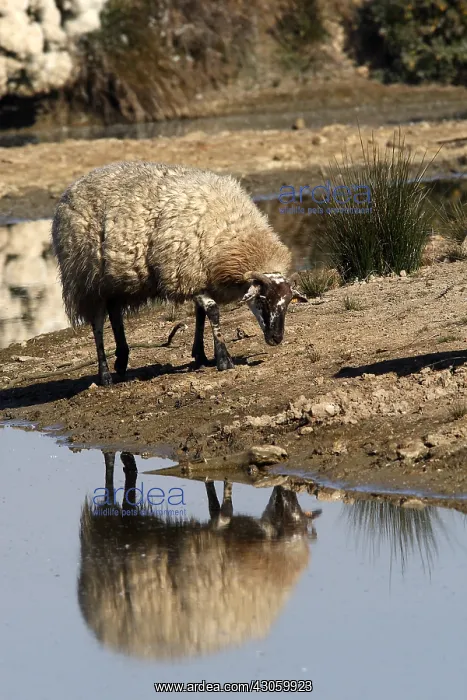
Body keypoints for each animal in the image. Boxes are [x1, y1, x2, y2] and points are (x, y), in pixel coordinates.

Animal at [52, 161, 307, 386]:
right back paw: (104, 375)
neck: (228, 232)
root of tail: (70, 190)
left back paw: (122, 360)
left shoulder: (199, 275)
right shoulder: (184, 273)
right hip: (86, 279)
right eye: (262, 300)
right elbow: (212, 311)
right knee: (97, 323)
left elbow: (200, 313)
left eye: (288, 303)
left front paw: (201, 355)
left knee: (114, 313)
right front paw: (223, 359)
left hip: (112, 282)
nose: (276, 339)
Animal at [77, 451, 321, 660]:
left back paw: (130, 464)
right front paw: (225, 487)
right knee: (109, 470)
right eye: (281, 509)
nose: (286, 492)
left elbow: (216, 508)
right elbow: (224, 514)